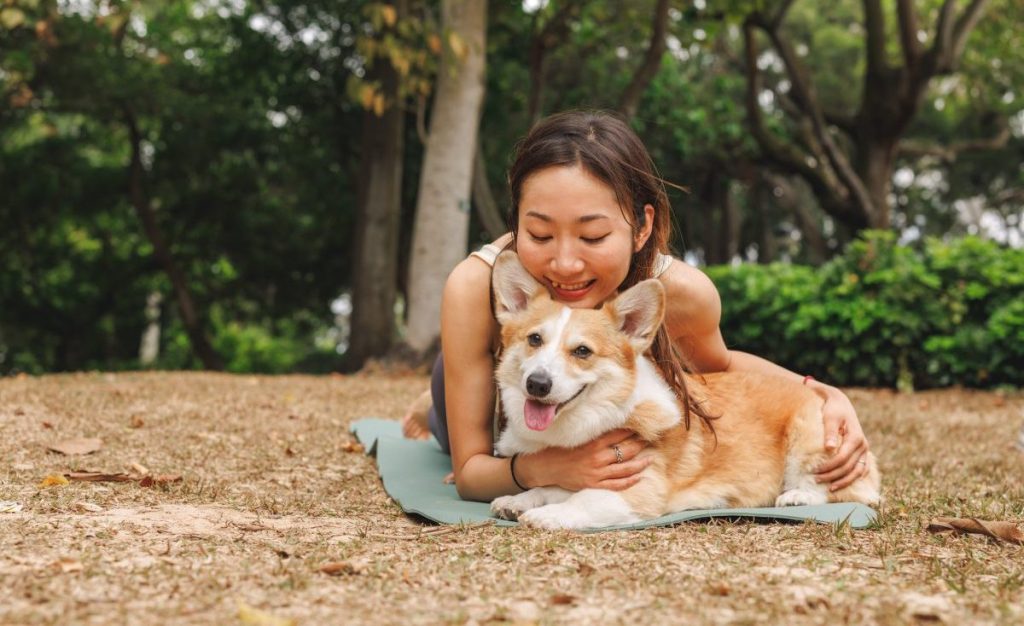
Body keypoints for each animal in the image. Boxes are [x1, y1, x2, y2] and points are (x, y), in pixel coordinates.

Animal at [487, 252, 880, 532]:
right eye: (534, 339)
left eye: (582, 351)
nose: (537, 384)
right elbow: (551, 486)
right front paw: (520, 500)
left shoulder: (637, 491)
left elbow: (583, 501)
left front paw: (548, 515)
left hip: (810, 438)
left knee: (842, 491)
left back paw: (796, 496)